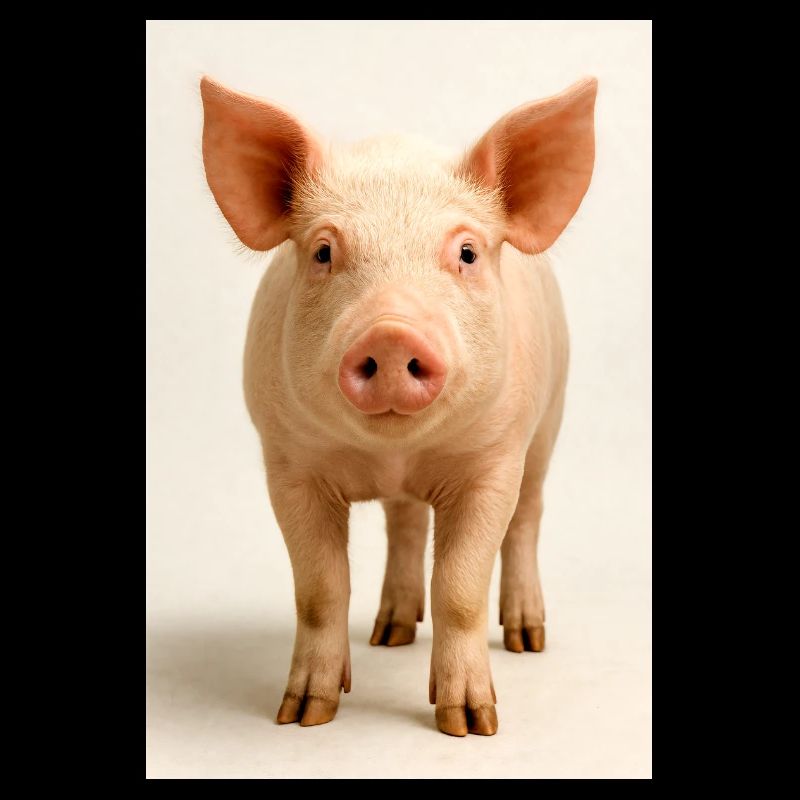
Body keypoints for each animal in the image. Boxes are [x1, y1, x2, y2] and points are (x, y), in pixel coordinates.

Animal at [200, 75, 597, 737]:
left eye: (466, 253)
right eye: (323, 252)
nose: (390, 333)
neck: (395, 454)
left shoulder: (494, 460)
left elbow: (460, 586)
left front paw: (472, 725)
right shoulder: (288, 463)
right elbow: (319, 588)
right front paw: (303, 716)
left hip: (551, 420)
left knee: (527, 519)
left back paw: (526, 639)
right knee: (406, 523)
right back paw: (389, 635)